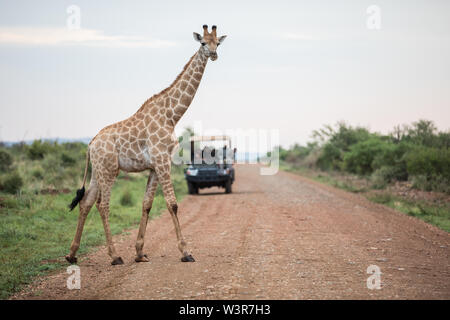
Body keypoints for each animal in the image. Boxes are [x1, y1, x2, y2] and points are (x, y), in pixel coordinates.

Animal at [66, 24, 225, 264]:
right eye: (203, 43)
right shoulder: (162, 160)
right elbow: (172, 204)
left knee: (85, 203)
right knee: (103, 205)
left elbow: (147, 204)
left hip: (97, 171)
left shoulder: (154, 166)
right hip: (109, 170)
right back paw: (114, 256)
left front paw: (140, 252)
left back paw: (72, 254)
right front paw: (185, 252)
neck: (171, 114)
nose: (214, 55)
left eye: (219, 43)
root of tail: (90, 144)